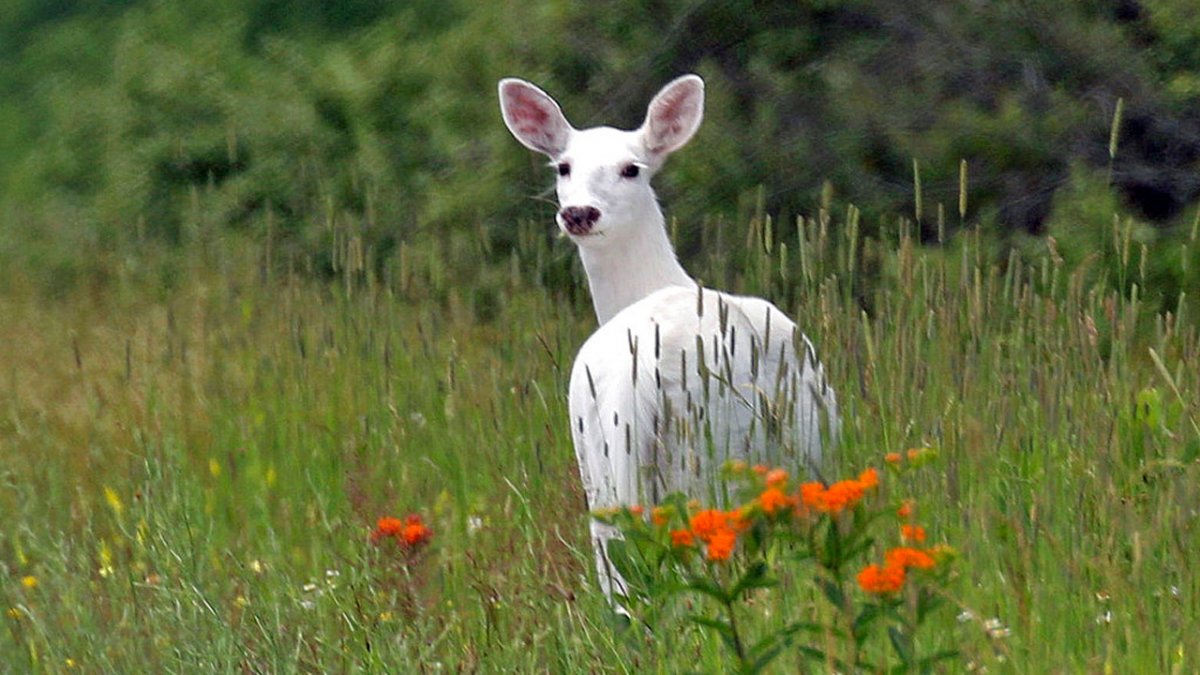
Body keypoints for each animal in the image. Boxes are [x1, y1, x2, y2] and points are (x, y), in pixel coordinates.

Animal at [494, 73, 835, 598]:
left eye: (631, 168)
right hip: (710, 464)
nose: (580, 213)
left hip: (613, 478)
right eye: (564, 166)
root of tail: (643, 380)